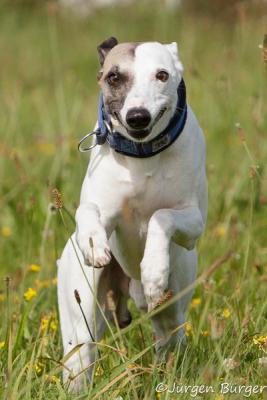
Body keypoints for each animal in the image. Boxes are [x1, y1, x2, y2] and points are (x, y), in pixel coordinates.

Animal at [57, 37, 208, 390]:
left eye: (162, 74)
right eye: (114, 76)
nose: (138, 116)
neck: (143, 157)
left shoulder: (194, 223)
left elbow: (161, 216)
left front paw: (154, 270)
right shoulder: (104, 208)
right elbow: (87, 210)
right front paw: (94, 243)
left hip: (171, 317)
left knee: (168, 339)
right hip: (81, 319)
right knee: (81, 353)